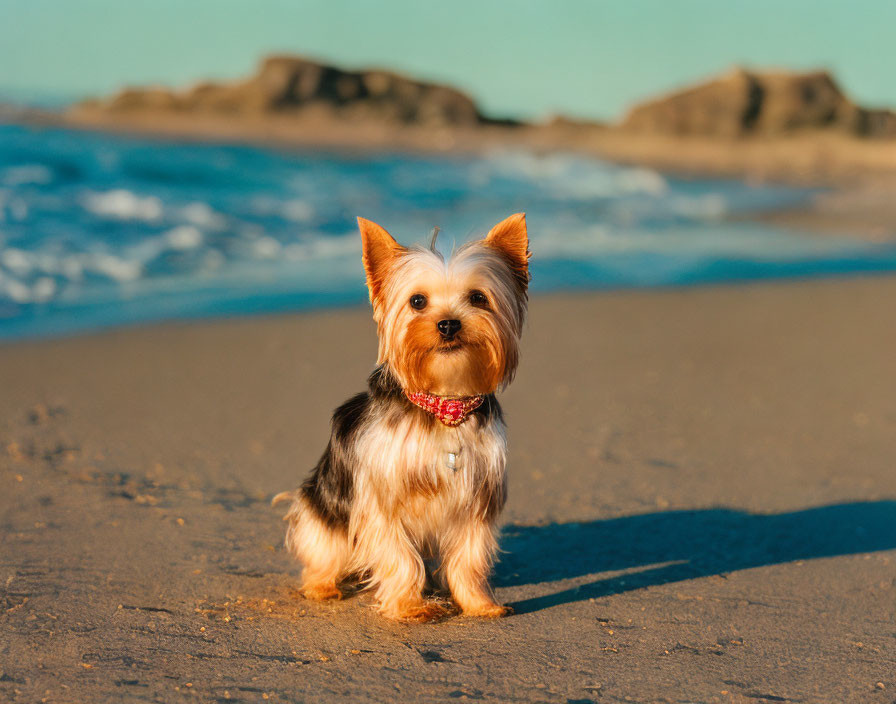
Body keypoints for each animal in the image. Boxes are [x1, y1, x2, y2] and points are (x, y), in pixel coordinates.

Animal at [272, 213, 524, 620]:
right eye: (417, 301)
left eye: (478, 298)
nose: (448, 324)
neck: (443, 404)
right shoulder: (381, 498)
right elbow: (399, 555)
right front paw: (410, 606)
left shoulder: (478, 497)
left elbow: (470, 558)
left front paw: (479, 604)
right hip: (320, 510)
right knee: (323, 551)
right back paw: (322, 586)